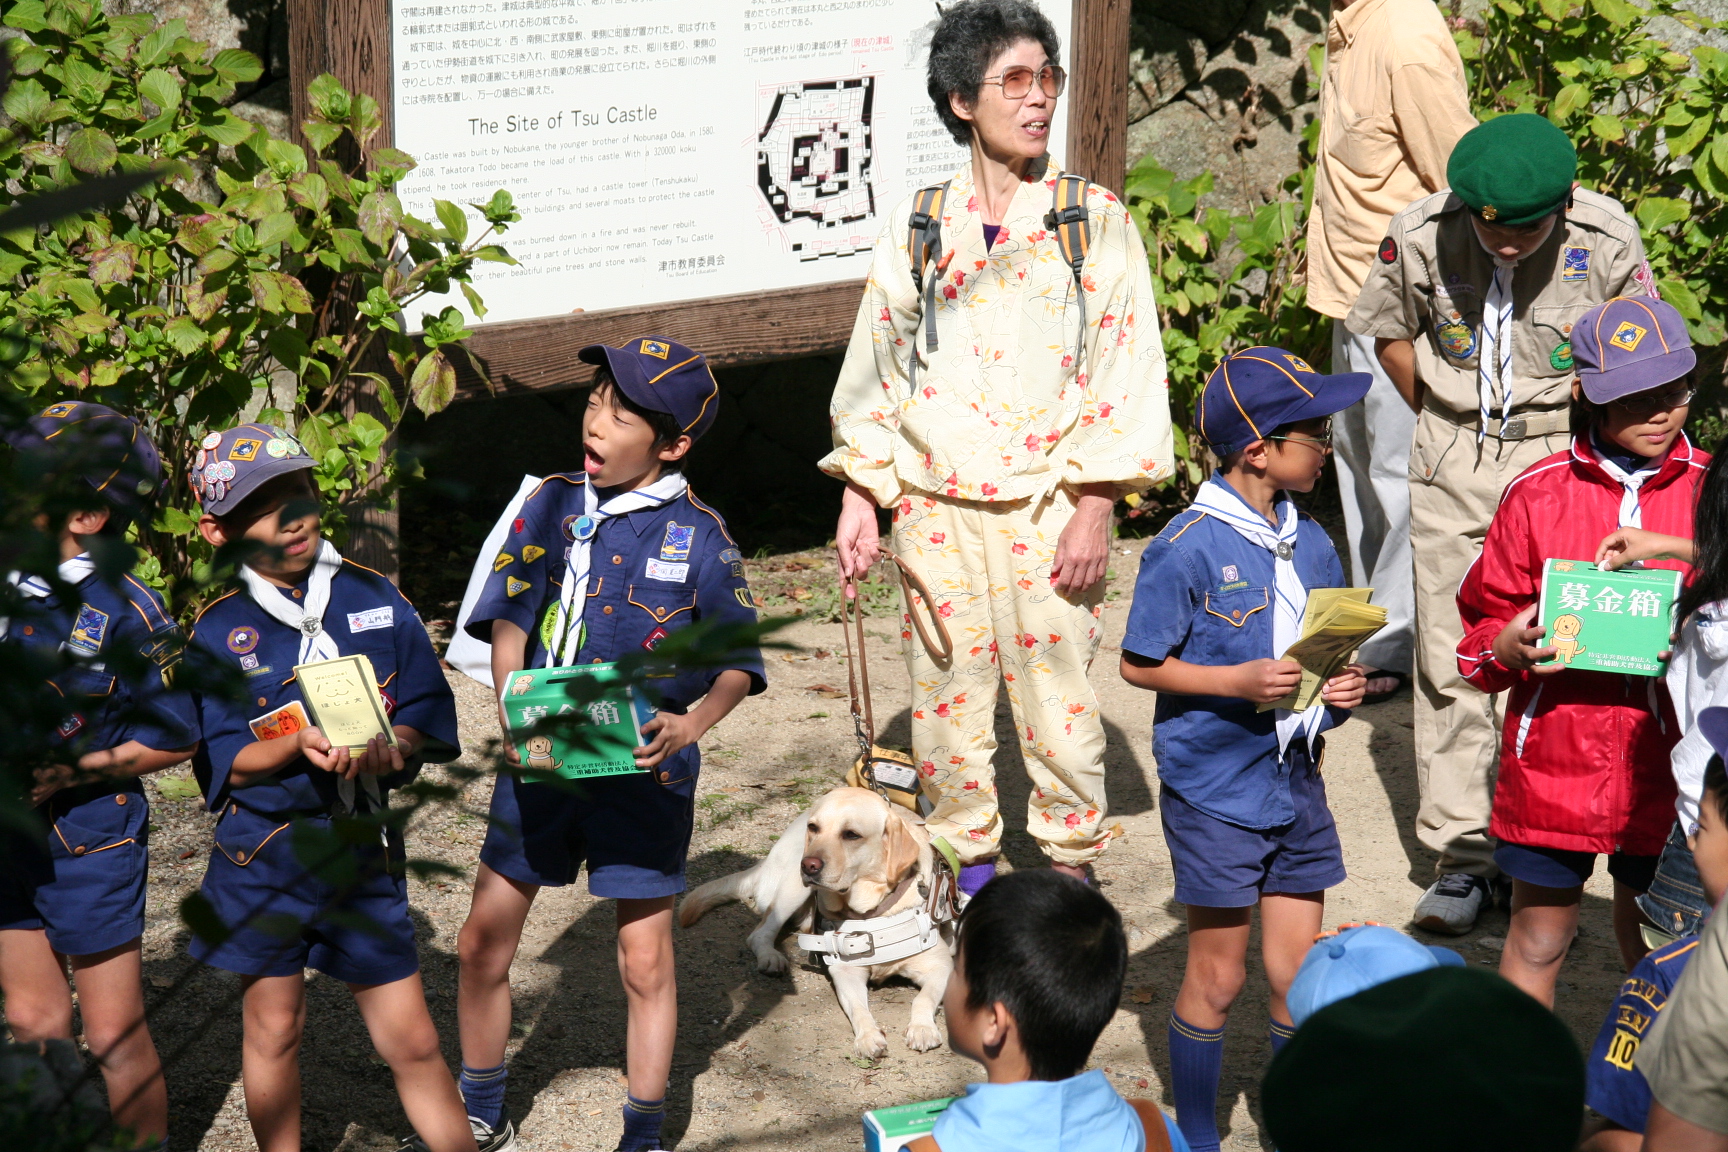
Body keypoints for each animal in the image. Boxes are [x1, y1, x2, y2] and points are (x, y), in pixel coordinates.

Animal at [680, 787, 954, 1058]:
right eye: (814, 828)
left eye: (851, 834)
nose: (809, 865)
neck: (871, 909)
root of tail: (765, 861)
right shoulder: (846, 973)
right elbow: (858, 1010)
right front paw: (868, 1037)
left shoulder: (940, 967)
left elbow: (922, 999)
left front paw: (922, 1029)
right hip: (792, 887)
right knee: (759, 933)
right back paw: (771, 956)